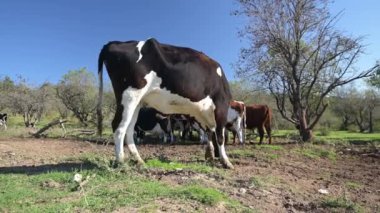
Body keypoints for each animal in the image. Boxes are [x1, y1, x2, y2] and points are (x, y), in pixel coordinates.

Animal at [97, 37, 235, 168]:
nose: (216, 156)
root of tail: (113, 43)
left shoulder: (202, 113)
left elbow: (210, 132)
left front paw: (210, 154)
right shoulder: (221, 105)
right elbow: (219, 135)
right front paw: (225, 161)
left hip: (136, 102)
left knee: (129, 129)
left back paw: (139, 160)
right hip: (129, 96)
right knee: (118, 126)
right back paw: (121, 161)